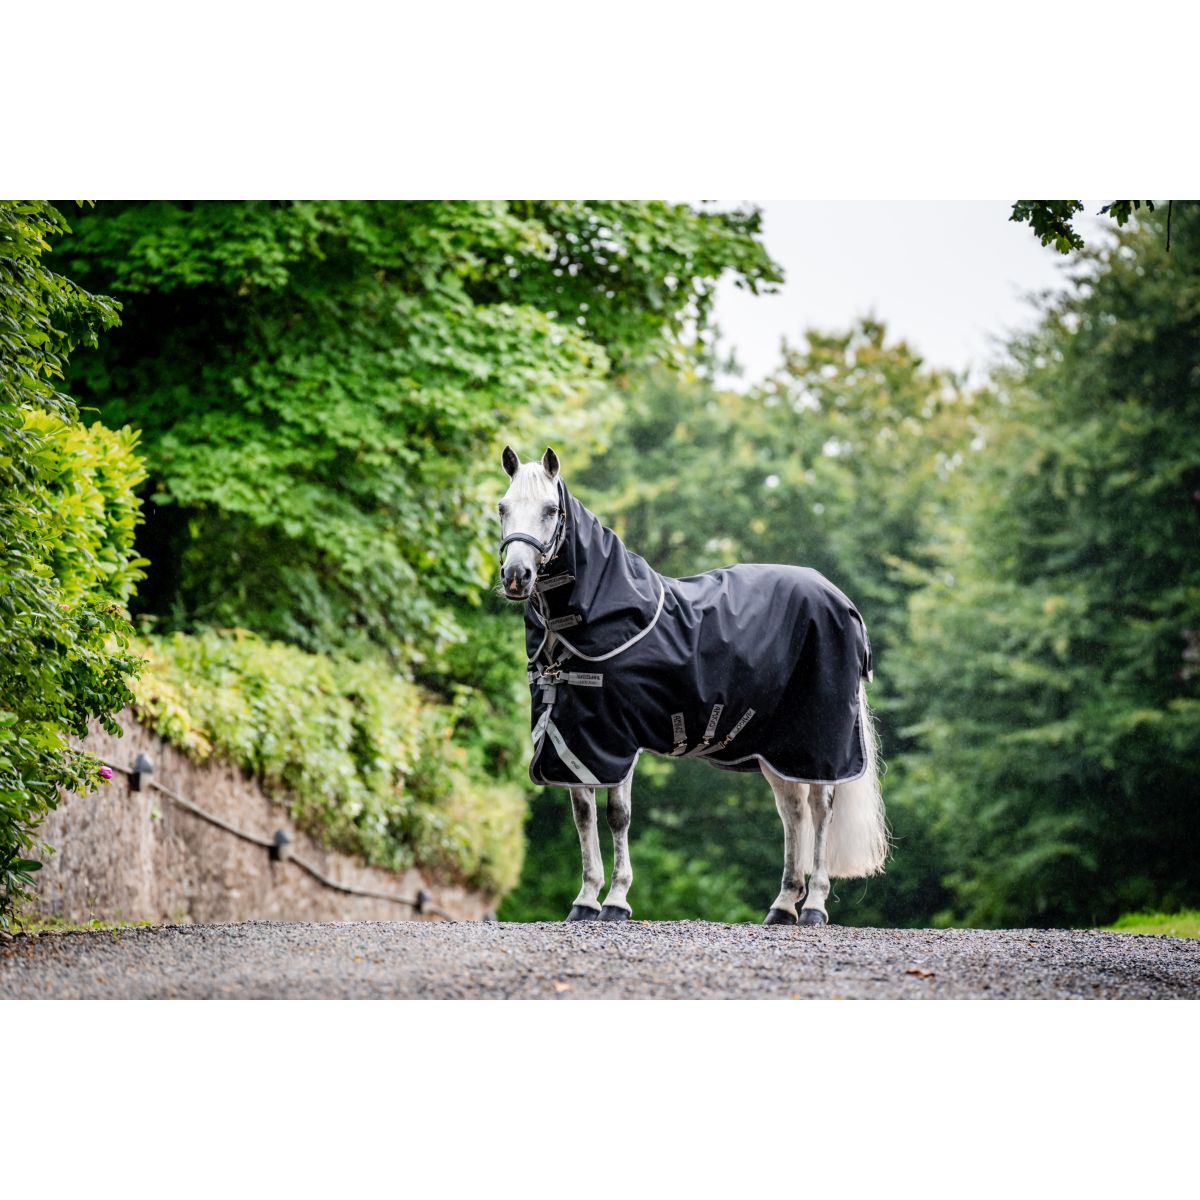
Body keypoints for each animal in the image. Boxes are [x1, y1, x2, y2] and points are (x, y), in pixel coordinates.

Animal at [497, 445, 888, 926]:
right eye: (503, 507)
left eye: (551, 510)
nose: (516, 576)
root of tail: (842, 601)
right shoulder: (575, 739)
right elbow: (583, 816)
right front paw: (585, 900)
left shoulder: (616, 739)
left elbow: (618, 815)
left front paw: (616, 901)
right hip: (781, 749)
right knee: (793, 811)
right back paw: (782, 906)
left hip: (820, 742)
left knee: (820, 808)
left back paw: (813, 905)